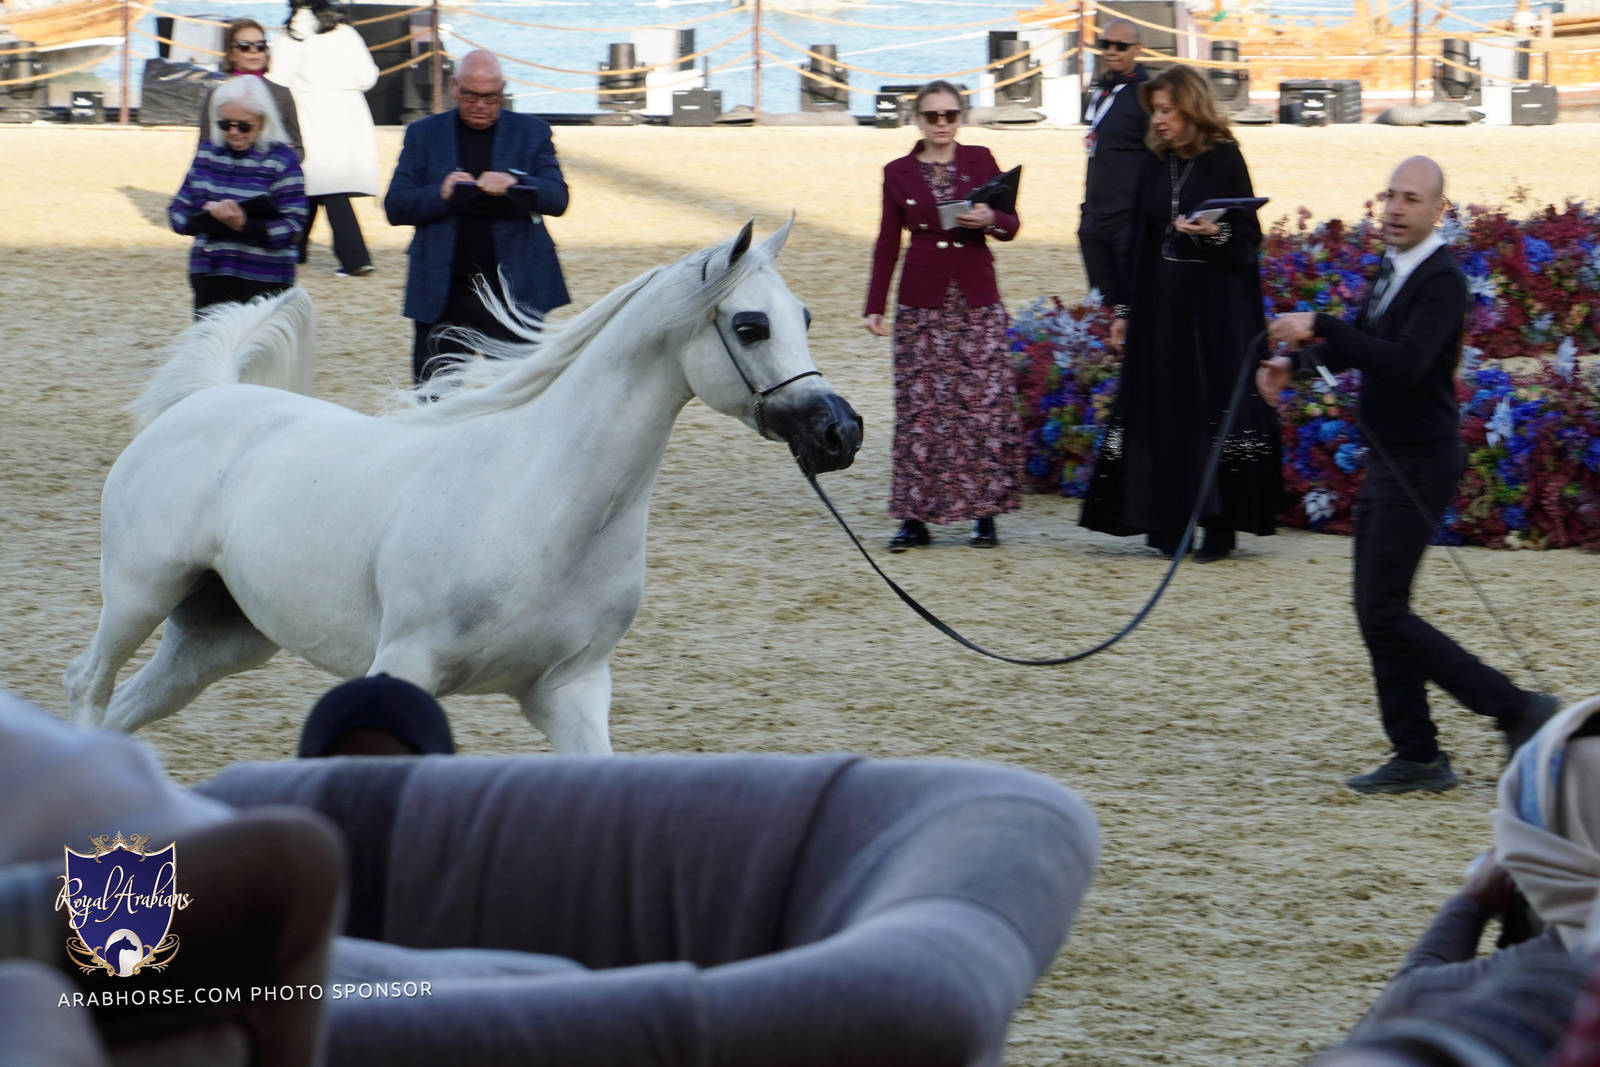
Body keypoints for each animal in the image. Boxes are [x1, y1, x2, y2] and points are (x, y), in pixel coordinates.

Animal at [65, 220, 863, 754]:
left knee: (127, 709)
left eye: (805, 316)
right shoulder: (404, 668)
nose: (841, 431)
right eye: (751, 325)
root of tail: (208, 396)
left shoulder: (570, 690)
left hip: (220, 637)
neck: (540, 504)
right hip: (139, 594)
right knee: (87, 686)